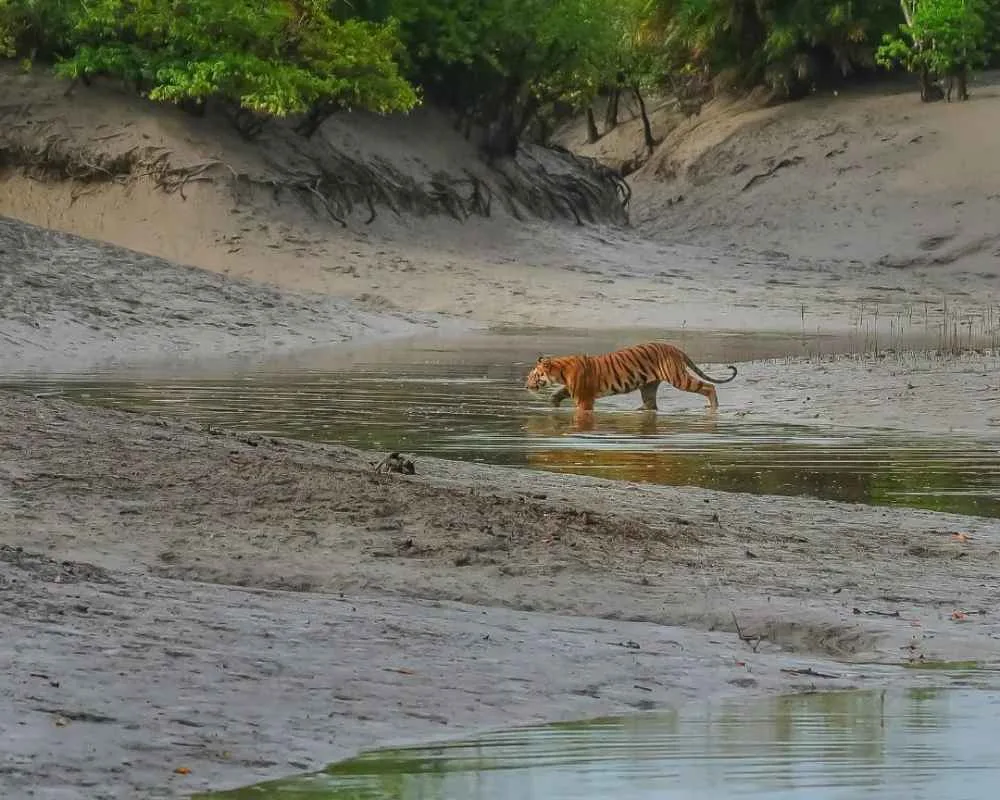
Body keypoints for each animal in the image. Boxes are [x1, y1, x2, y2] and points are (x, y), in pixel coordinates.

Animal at [524, 341, 738, 411]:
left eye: (533, 376)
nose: (526, 386)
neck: (559, 371)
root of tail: (674, 347)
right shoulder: (574, 390)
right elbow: (558, 393)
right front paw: (553, 404)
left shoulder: (584, 398)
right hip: (648, 386)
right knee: (651, 404)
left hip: (679, 378)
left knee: (709, 387)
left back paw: (714, 408)